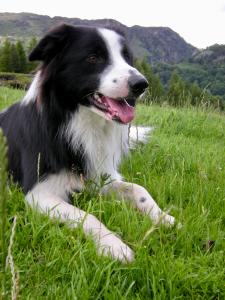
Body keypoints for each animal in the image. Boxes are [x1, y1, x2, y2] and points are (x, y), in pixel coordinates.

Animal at [0, 24, 176, 262]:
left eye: (126, 58)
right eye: (93, 58)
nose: (141, 84)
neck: (79, 123)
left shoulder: (100, 176)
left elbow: (138, 189)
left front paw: (163, 218)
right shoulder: (38, 193)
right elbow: (87, 216)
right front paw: (114, 245)